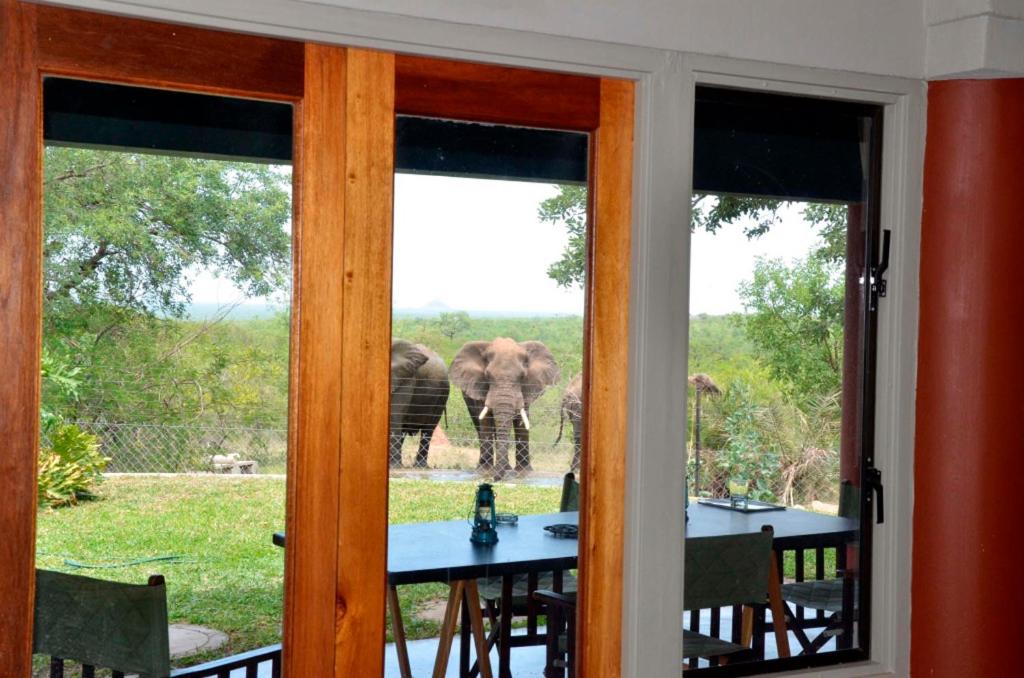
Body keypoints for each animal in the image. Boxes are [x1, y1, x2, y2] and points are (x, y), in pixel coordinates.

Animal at [450, 337, 561, 477]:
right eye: (487, 376)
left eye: (522, 376)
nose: (496, 479)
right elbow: (486, 421)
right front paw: (486, 471)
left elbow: (521, 422)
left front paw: (524, 472)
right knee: (480, 426)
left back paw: (506, 468)